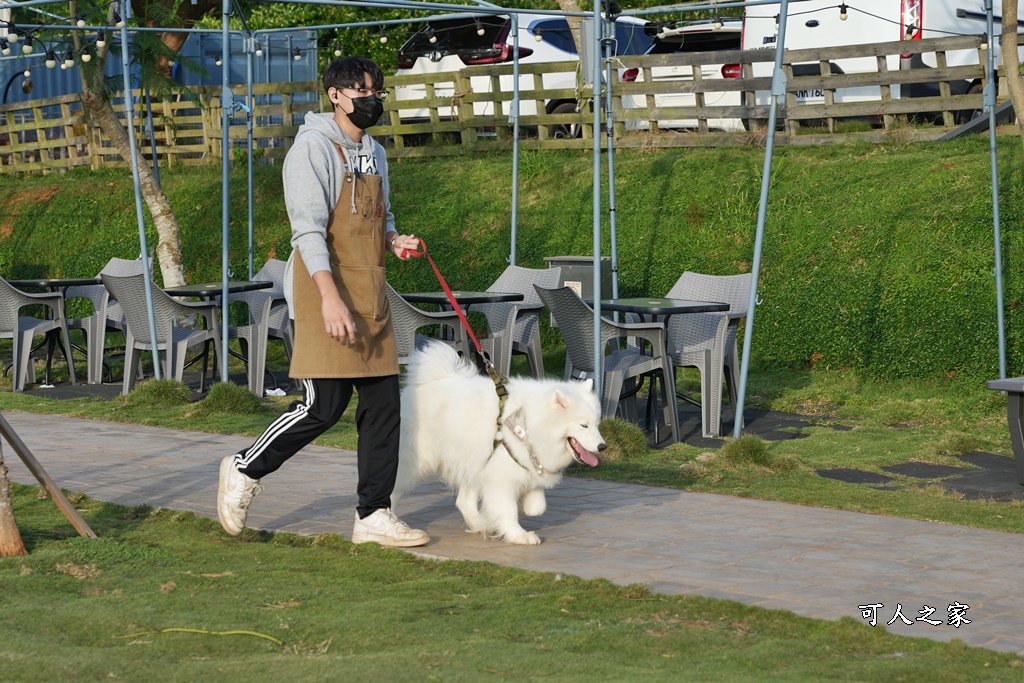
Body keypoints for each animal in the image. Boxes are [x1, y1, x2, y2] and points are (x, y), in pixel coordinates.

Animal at [393, 342, 602, 544]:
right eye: (584, 425)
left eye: (596, 424)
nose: (602, 446)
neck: (529, 422)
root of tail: (430, 380)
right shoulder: (501, 478)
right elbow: (508, 511)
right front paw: (519, 535)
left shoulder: (525, 465)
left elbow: (537, 506)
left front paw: (525, 505)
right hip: (416, 460)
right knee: (394, 488)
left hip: (472, 460)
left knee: (464, 501)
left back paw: (480, 524)